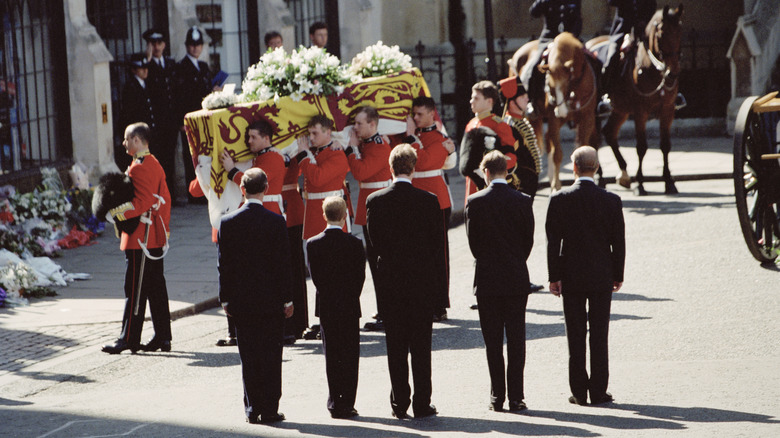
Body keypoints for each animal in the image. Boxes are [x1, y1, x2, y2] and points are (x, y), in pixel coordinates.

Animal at [508, 32, 600, 190]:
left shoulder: (587, 118)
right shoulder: (553, 120)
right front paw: (556, 186)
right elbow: (557, 154)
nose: (561, 112)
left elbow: (582, 147)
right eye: (549, 87)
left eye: (567, 83)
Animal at [588, 4, 684, 194]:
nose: (673, 74)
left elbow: (665, 145)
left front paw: (669, 181)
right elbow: (641, 147)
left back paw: (623, 174)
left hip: (621, 109)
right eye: (661, 35)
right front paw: (640, 183)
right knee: (594, 139)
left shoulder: (667, 110)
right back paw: (599, 176)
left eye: (680, 32)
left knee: (609, 132)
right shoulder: (641, 112)